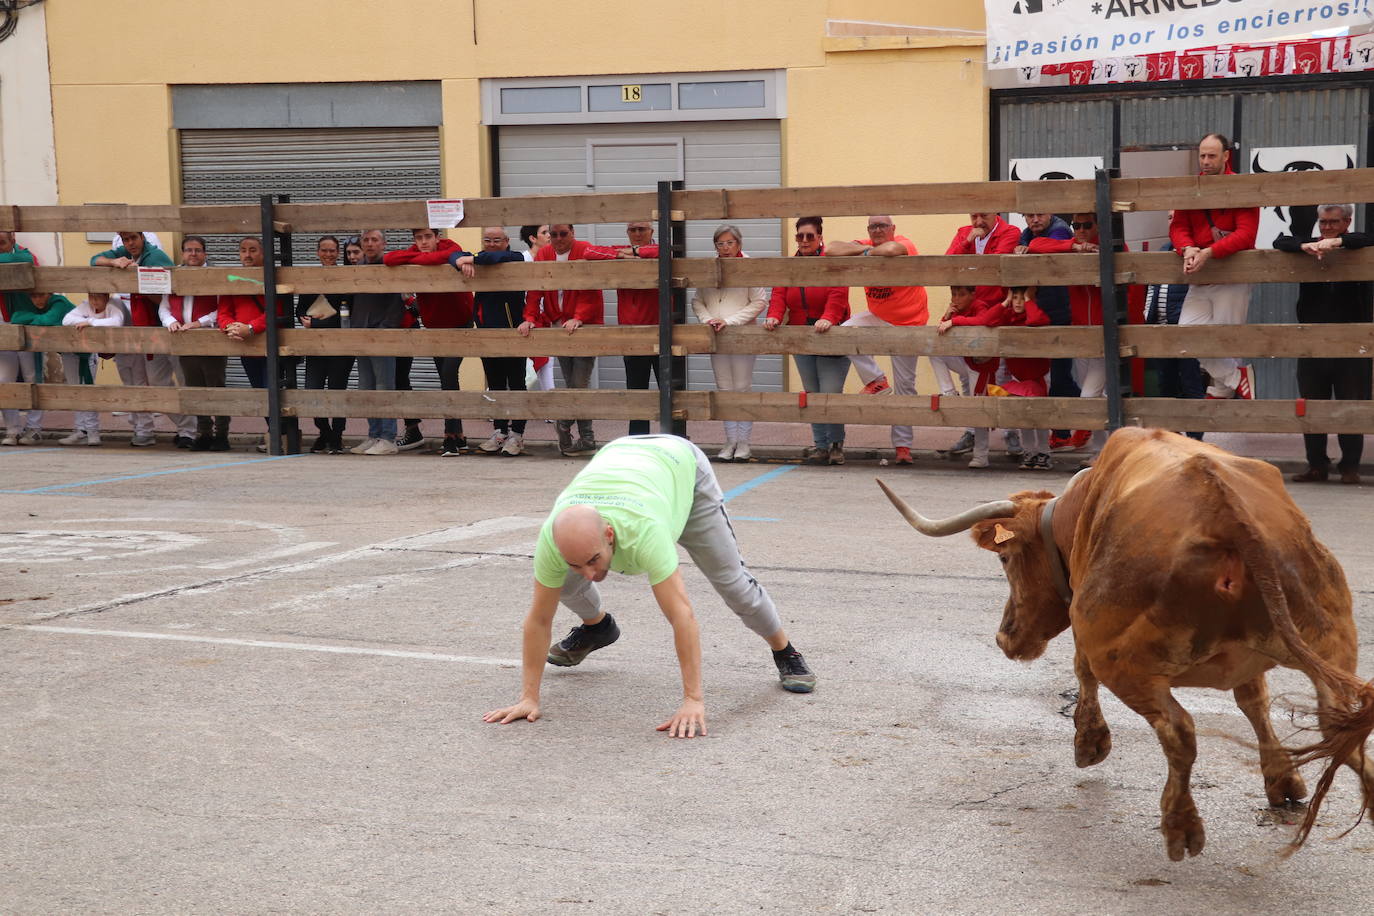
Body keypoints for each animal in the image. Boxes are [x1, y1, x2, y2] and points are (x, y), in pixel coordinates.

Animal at [879, 431, 1374, 862]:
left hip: (1122, 661)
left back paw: (1180, 828)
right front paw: (1283, 782)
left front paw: (1089, 743)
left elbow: (1081, 671)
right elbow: (1254, 701)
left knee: (1178, 729)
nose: (1005, 636)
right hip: (1330, 644)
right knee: (1338, 727)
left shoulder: (1088, 629)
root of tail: (1227, 515)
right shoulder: (1247, 664)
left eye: (1005, 558)